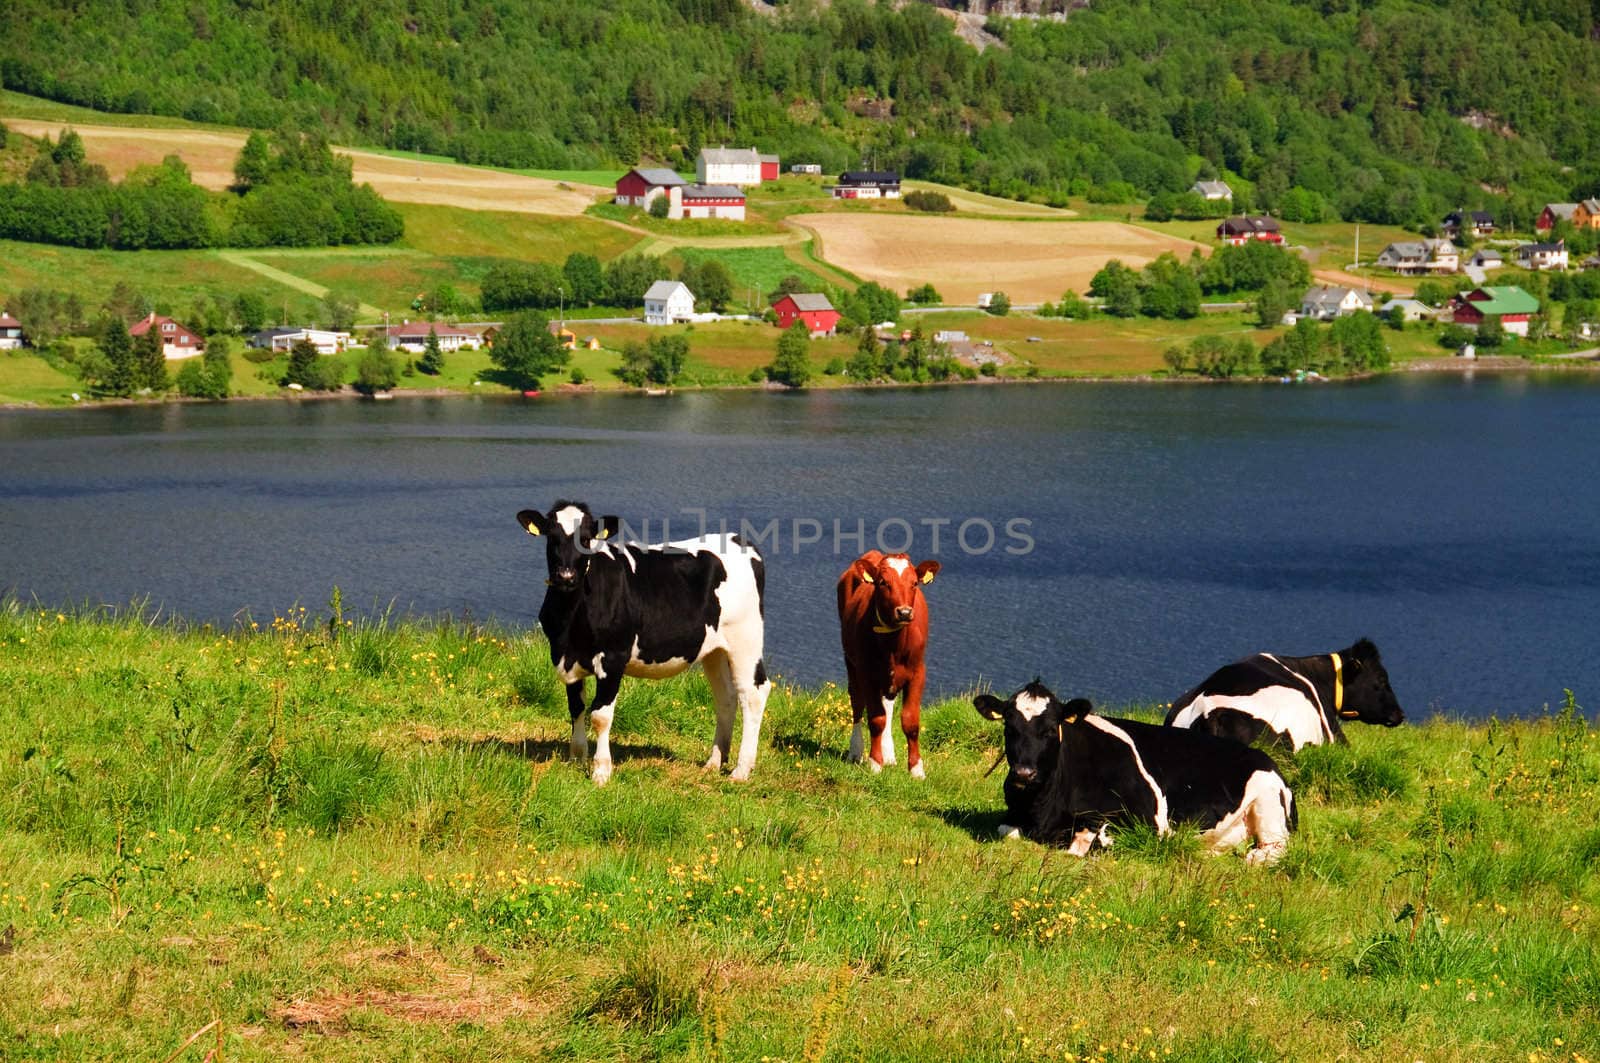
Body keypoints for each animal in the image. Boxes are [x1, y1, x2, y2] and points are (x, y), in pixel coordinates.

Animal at [515, 502, 771, 784]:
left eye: (586, 539)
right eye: (552, 537)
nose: (566, 576)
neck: (570, 622)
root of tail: (740, 540)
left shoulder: (613, 658)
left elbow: (600, 716)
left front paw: (601, 771)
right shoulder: (568, 659)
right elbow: (576, 708)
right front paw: (576, 758)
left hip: (746, 639)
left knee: (753, 693)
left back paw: (741, 770)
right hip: (714, 649)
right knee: (725, 695)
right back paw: (714, 762)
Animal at [838, 550, 934, 778]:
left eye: (914, 583)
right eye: (883, 582)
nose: (905, 612)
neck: (894, 644)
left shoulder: (918, 672)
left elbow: (910, 721)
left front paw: (916, 769)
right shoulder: (866, 672)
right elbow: (875, 718)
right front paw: (875, 763)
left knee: (888, 705)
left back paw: (889, 753)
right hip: (851, 662)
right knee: (857, 702)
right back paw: (856, 752)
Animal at [972, 681, 1299, 864]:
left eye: (1051, 729)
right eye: (1009, 727)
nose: (1023, 773)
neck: (1044, 810)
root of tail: (1264, 757)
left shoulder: (1148, 822)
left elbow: (1089, 842)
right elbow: (1006, 831)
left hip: (1269, 807)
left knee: (1272, 850)